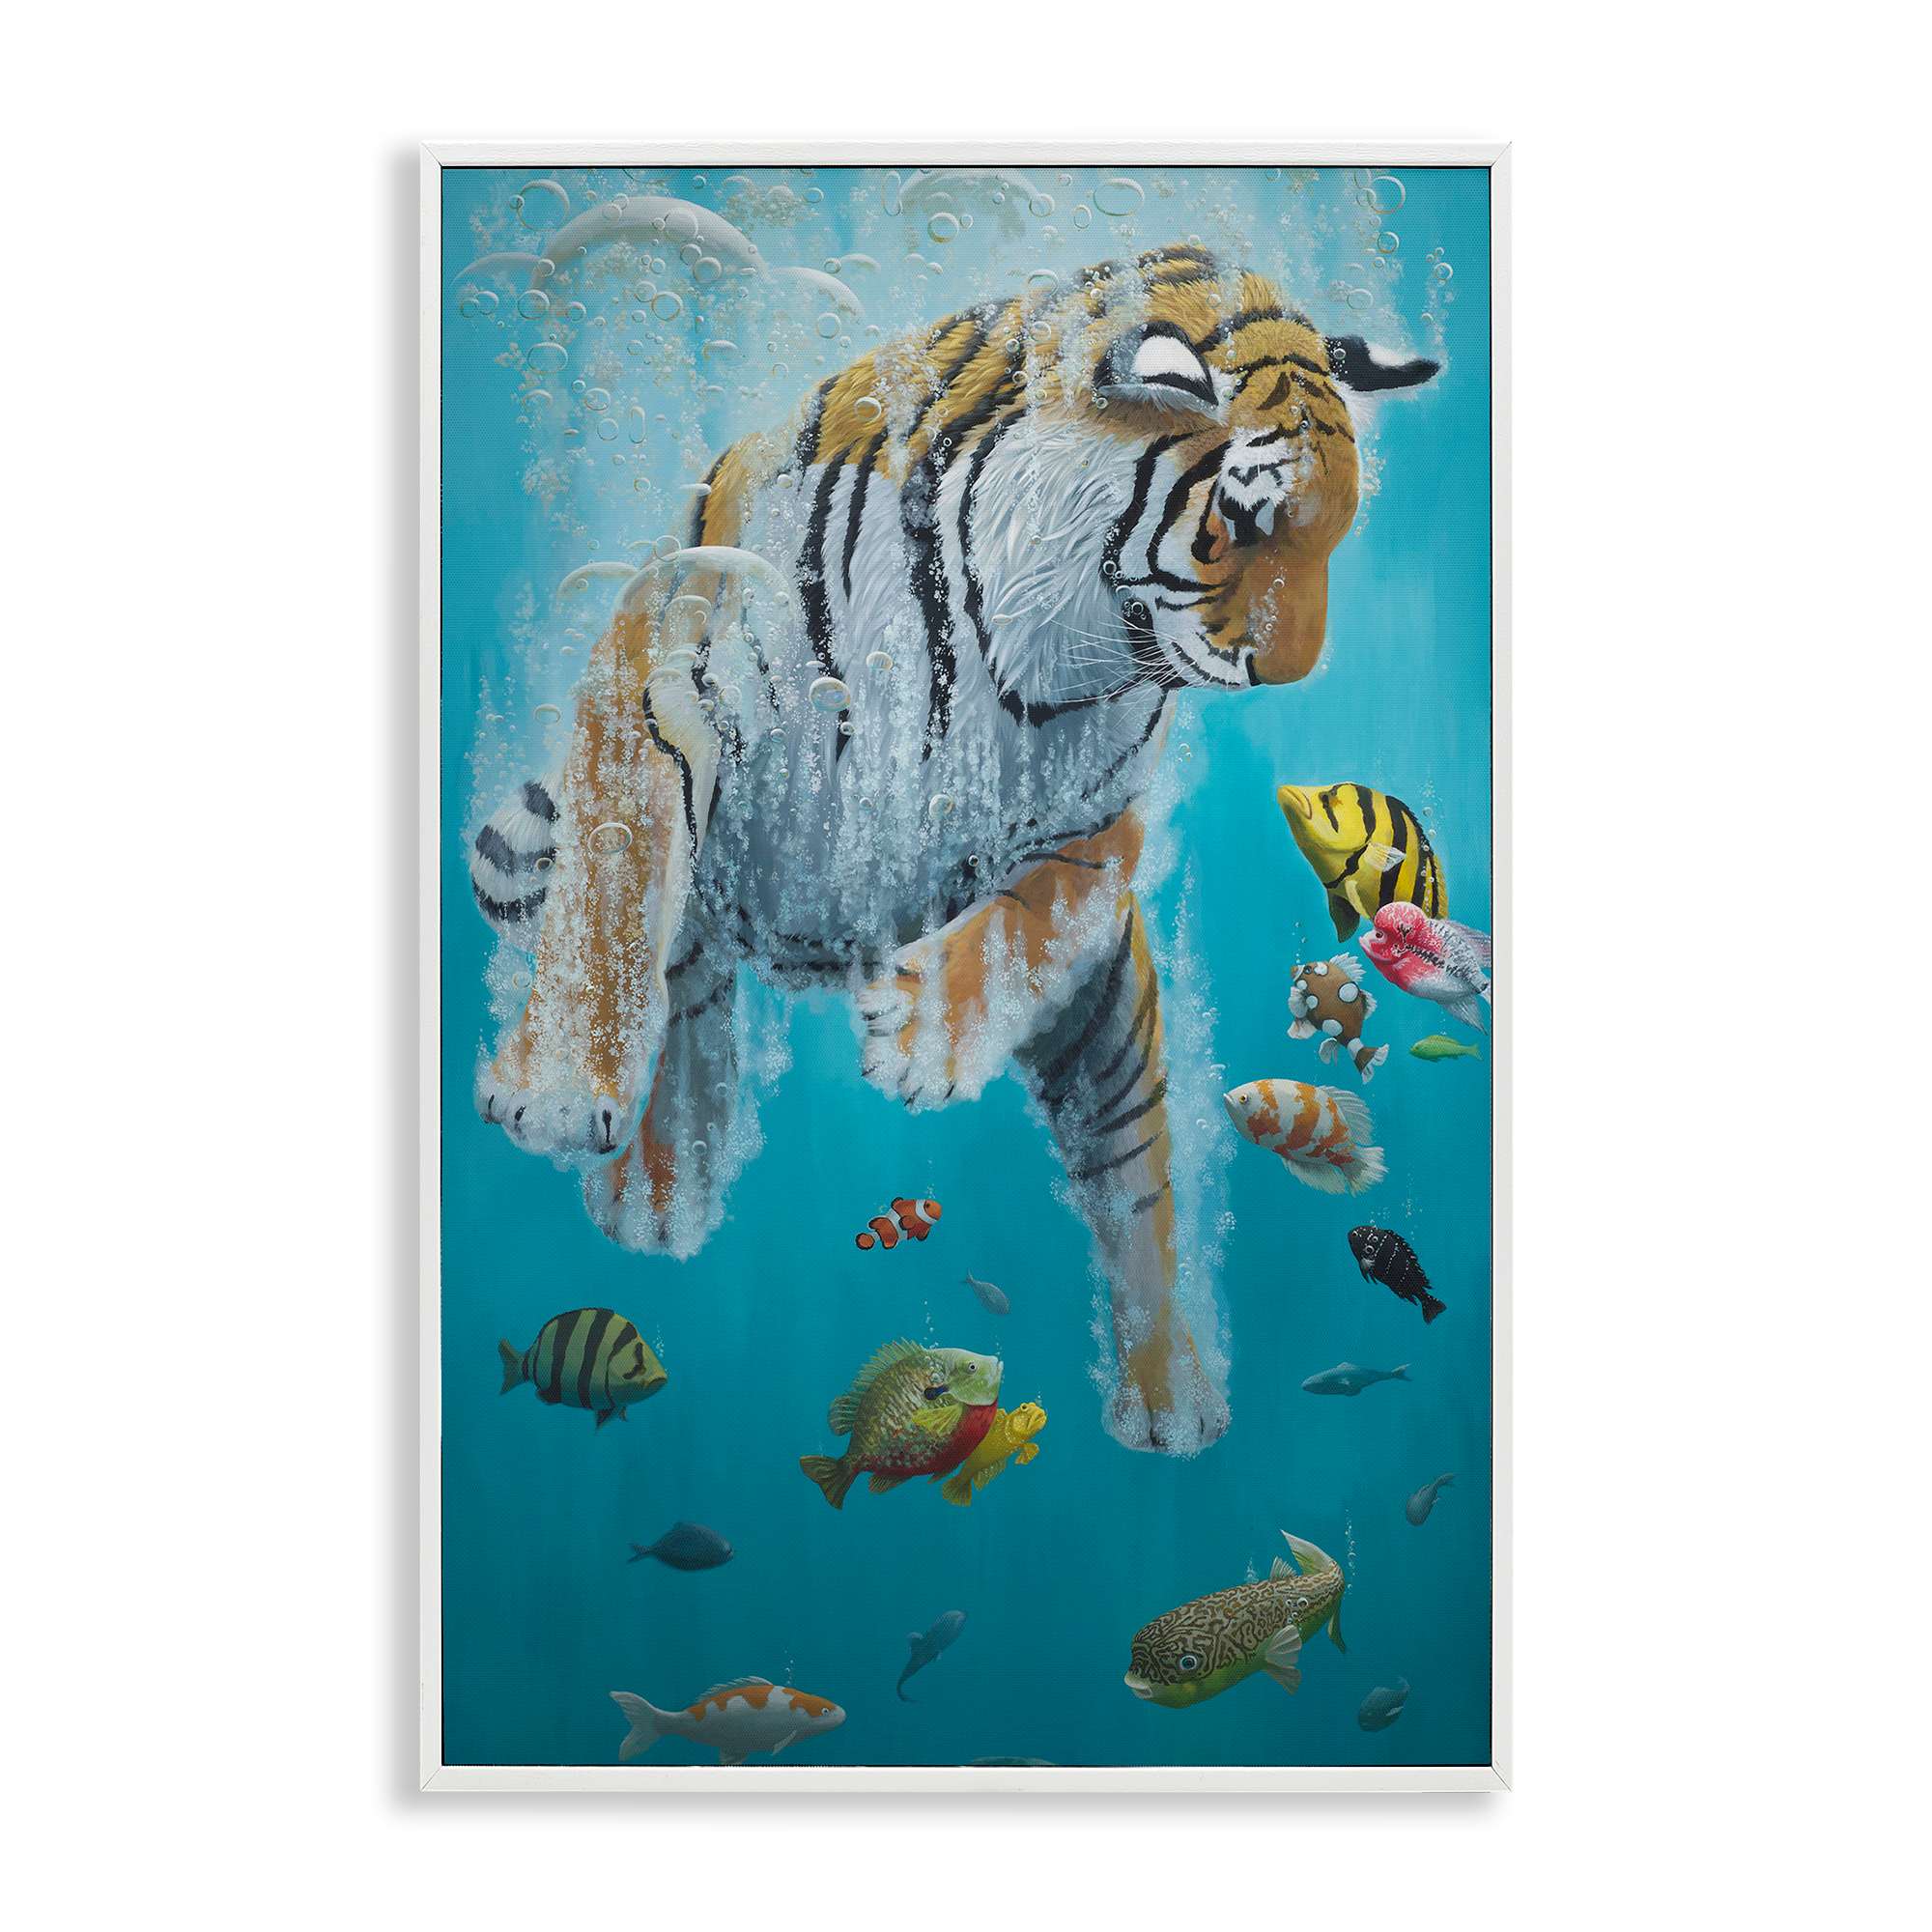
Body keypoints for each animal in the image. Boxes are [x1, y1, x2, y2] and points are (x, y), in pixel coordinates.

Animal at [468, 244, 1437, 1455]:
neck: (1046, 627)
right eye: (1245, 525)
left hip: (1113, 1043)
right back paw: (655, 1197)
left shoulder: (1099, 808)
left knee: (1134, 1186)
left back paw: (1171, 1401)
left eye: (1336, 533)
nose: (1294, 668)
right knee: (684, 998)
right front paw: (555, 1091)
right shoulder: (658, 663)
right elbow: (606, 885)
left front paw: (919, 1037)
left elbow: (1033, 917)